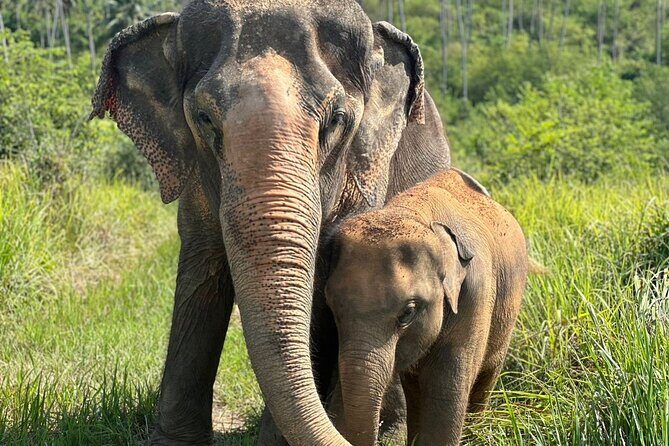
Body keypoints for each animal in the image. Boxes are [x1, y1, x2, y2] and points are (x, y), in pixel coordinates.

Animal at [325, 169, 529, 446]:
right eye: (332, 308)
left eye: (408, 313)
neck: (415, 215)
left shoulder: (475, 296)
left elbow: (446, 392)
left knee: (487, 375)